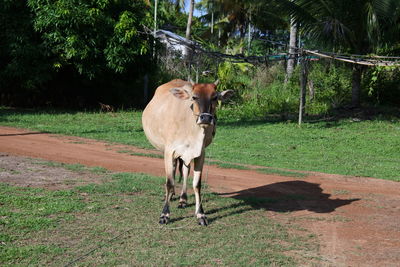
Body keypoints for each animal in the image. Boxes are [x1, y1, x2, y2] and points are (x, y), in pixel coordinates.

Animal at [142, 79, 233, 226]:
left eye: (214, 97)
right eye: (194, 97)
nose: (205, 118)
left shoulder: (200, 154)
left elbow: (196, 184)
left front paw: (200, 214)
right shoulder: (169, 151)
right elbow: (169, 182)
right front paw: (165, 214)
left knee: (184, 171)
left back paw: (182, 199)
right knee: (173, 172)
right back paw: (170, 195)